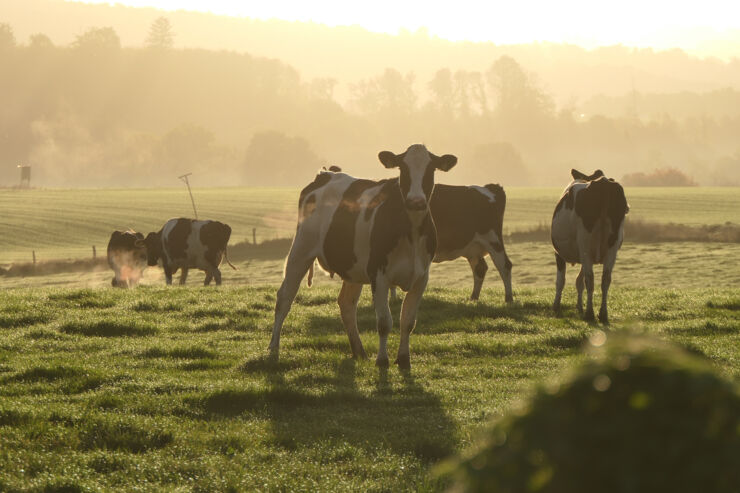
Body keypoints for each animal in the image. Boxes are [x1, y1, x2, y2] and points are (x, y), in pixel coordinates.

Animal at [270, 144, 456, 368]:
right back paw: (273, 348)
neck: (411, 230)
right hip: (301, 248)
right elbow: (384, 322)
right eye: (403, 168)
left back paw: (359, 351)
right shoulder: (379, 274)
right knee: (284, 298)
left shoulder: (421, 277)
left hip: (353, 267)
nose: (416, 201)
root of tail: (326, 174)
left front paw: (404, 359)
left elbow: (408, 321)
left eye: (431, 169)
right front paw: (382, 360)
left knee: (346, 304)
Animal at [552, 169, 628, 322]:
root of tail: (603, 182)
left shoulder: (559, 253)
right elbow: (578, 281)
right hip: (612, 247)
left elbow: (561, 281)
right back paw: (603, 314)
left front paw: (556, 306)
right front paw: (579, 306)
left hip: (585, 242)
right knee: (605, 279)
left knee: (590, 278)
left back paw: (590, 313)